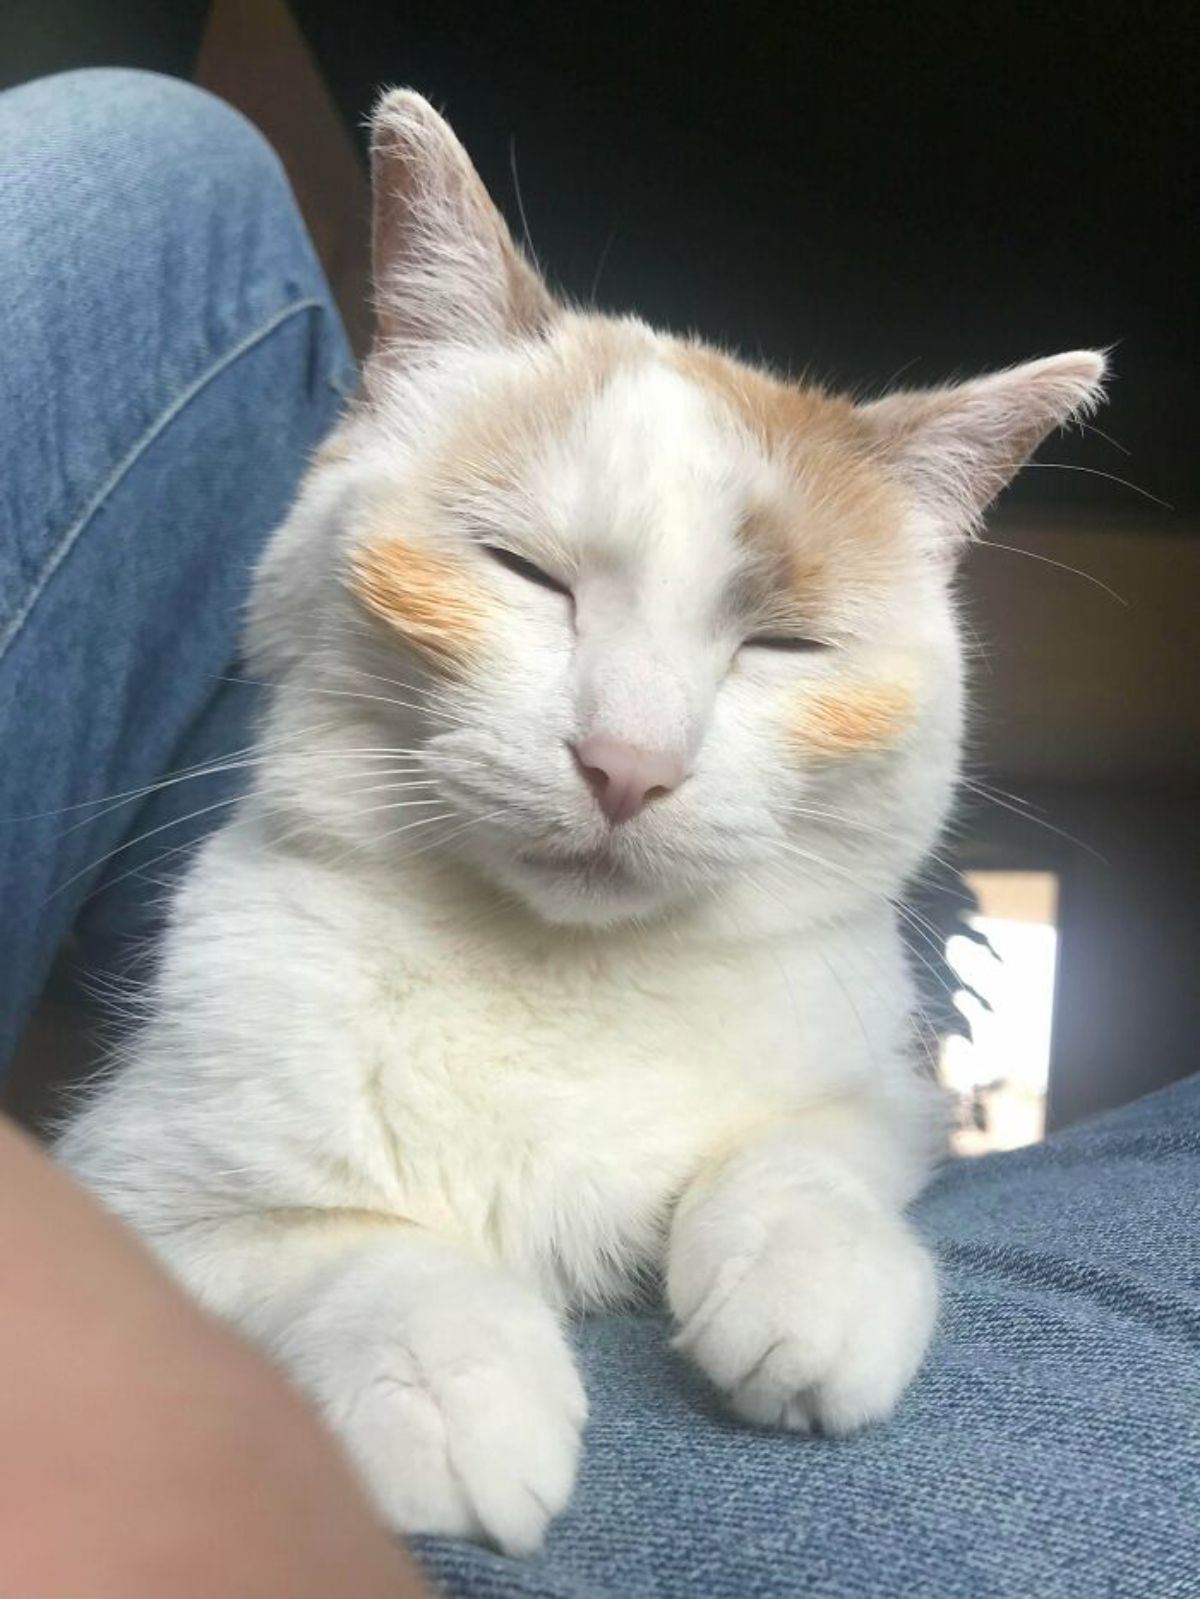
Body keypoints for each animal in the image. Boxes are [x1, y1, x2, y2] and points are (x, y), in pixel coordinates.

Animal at [56, 84, 1107, 1547]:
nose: (628, 763)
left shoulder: (885, 1092)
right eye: (525, 572)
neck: (564, 985)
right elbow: (353, 1247)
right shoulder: (140, 1186)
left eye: (782, 645)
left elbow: (806, 1150)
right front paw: (448, 1382)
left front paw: (810, 1282)